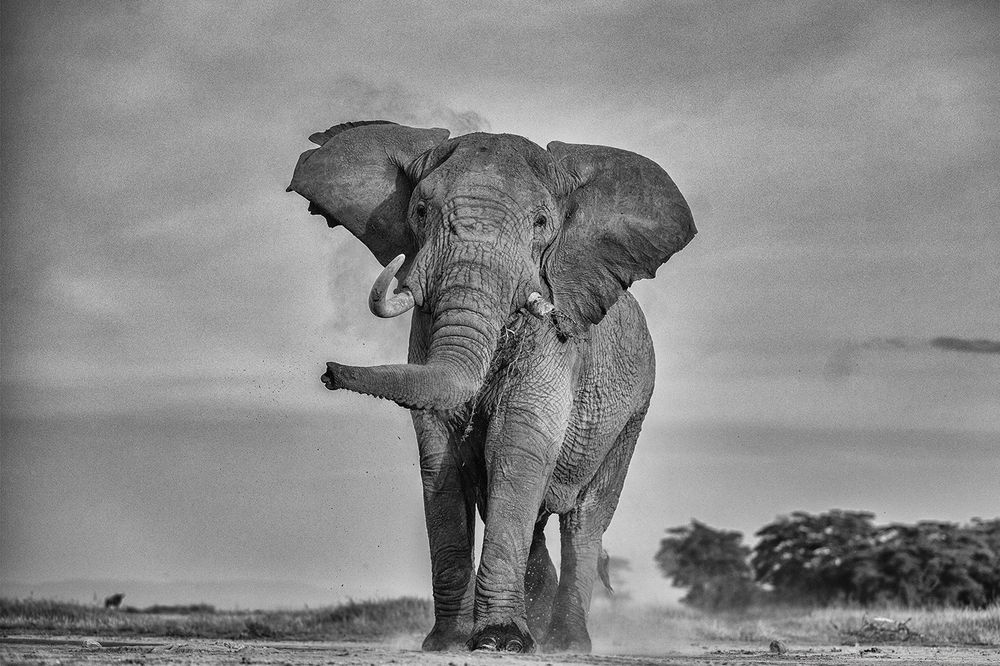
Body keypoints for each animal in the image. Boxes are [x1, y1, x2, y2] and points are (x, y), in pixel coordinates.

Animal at [287, 120, 695, 653]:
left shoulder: (556, 340)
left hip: (634, 411)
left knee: (586, 519)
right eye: (420, 211)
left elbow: (514, 445)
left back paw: (566, 643)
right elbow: (439, 456)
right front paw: (447, 643)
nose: (328, 373)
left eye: (541, 223)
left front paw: (498, 642)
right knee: (532, 517)